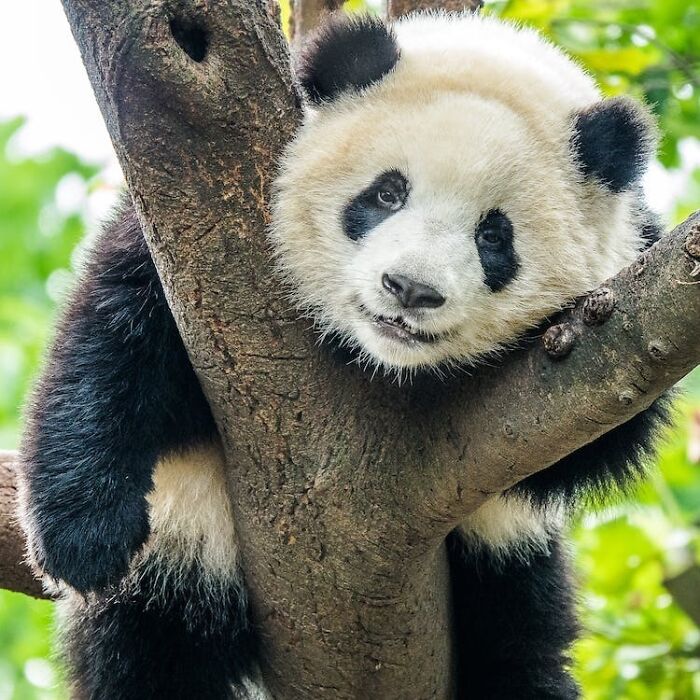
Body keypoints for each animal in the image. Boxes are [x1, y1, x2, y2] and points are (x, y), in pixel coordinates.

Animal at [18, 10, 671, 700]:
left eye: (494, 234)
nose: (410, 289)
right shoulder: (187, 250)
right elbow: (114, 332)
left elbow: (598, 439)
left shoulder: (628, 256)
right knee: (153, 651)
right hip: (182, 547)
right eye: (387, 194)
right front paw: (84, 538)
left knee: (520, 640)